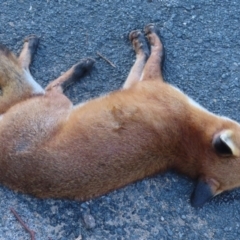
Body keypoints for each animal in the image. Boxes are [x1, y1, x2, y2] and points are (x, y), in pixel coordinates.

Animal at [0, 24, 238, 208]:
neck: (186, 137)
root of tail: (8, 168)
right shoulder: (142, 83)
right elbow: (155, 54)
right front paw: (145, 40)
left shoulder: (141, 83)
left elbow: (151, 56)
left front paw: (144, 42)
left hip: (52, 100)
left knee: (39, 80)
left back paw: (75, 66)